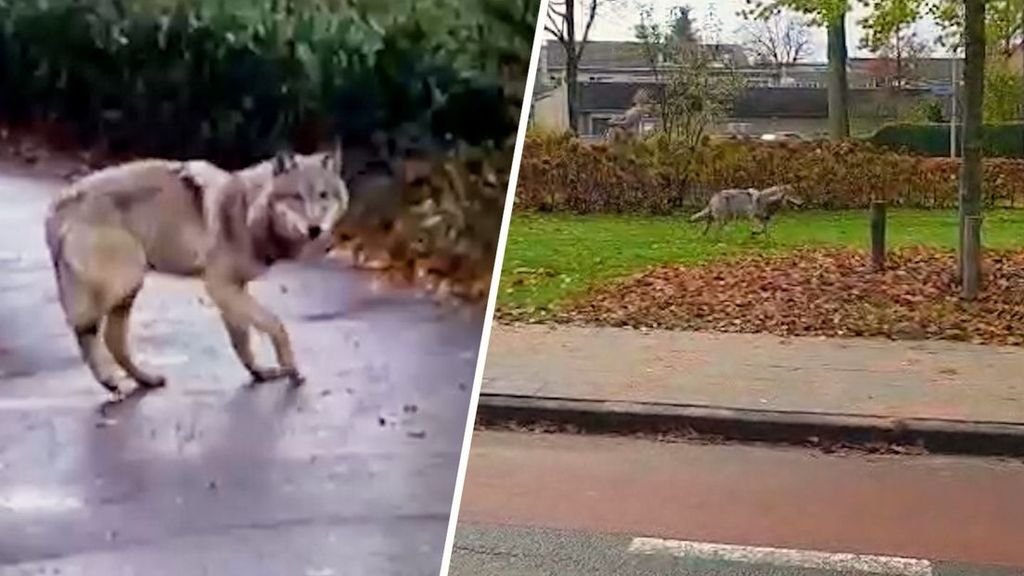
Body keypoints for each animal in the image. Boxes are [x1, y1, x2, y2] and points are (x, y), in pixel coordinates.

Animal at [44, 147, 349, 397]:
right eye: (297, 197)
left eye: (323, 195)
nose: (315, 229)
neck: (247, 211)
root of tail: (57, 205)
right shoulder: (220, 286)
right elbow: (276, 325)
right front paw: (291, 368)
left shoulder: (232, 290)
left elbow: (243, 342)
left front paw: (260, 373)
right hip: (122, 282)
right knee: (84, 330)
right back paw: (110, 381)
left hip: (128, 290)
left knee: (113, 340)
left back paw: (145, 380)